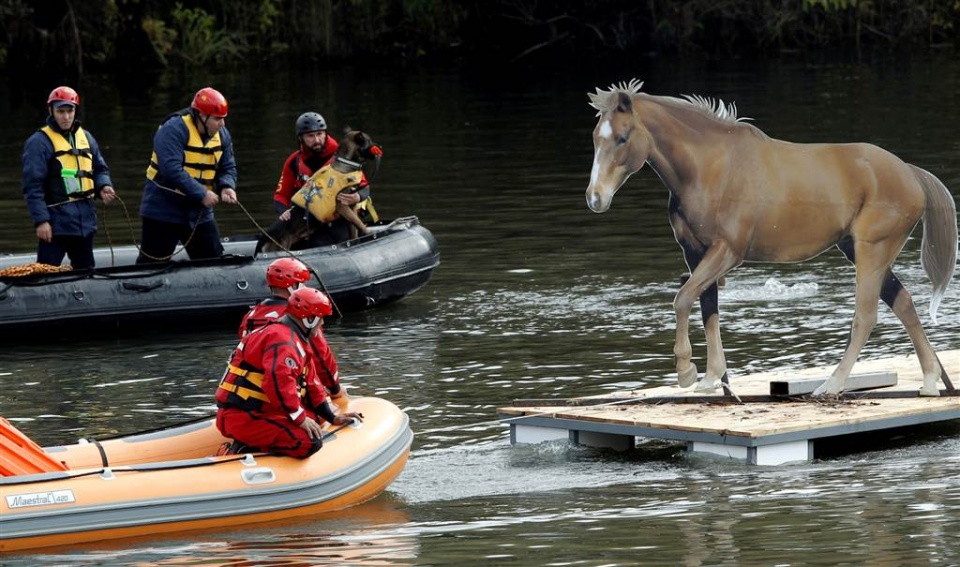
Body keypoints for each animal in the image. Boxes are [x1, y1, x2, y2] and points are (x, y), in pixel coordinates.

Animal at [258, 131, 386, 255]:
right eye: (369, 141)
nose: (380, 147)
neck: (346, 163)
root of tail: (266, 236)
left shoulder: (351, 206)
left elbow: (354, 228)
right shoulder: (342, 206)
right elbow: (358, 222)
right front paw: (369, 232)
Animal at [580, 80, 956, 398]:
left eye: (622, 138)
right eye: (597, 137)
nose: (595, 198)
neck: (708, 168)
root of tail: (910, 172)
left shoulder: (726, 252)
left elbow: (683, 299)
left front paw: (686, 371)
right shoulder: (696, 254)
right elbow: (707, 308)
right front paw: (712, 377)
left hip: (871, 252)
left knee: (865, 317)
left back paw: (832, 385)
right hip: (859, 250)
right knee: (903, 304)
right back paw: (929, 381)